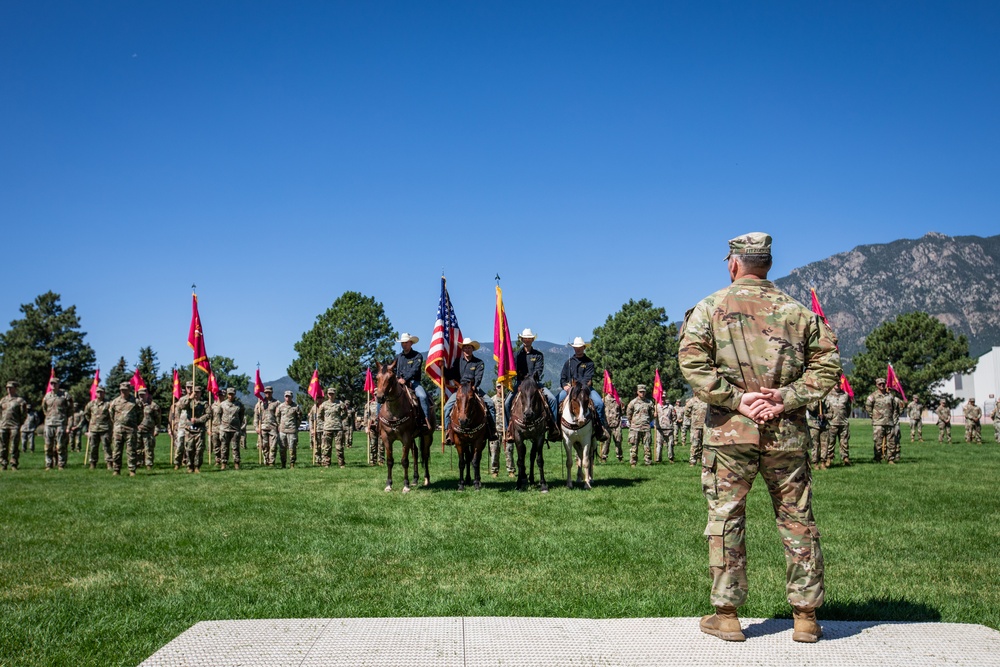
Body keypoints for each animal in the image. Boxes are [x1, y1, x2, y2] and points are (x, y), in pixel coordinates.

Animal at [376, 360, 430, 490]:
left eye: (390, 378)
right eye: (377, 378)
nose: (380, 397)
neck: (394, 411)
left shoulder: (406, 436)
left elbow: (404, 461)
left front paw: (406, 485)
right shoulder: (386, 437)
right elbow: (390, 461)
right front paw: (388, 484)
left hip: (427, 435)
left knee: (425, 455)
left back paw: (427, 479)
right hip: (413, 438)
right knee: (415, 452)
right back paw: (415, 479)